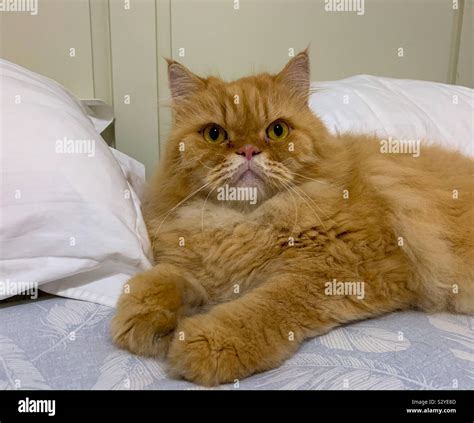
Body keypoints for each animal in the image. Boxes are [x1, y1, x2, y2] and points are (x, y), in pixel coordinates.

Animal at [112, 51, 474, 386]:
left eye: (277, 130)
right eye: (214, 134)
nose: (247, 151)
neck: (242, 223)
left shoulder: (345, 267)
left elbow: (267, 305)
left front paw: (207, 342)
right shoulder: (197, 270)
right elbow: (157, 280)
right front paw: (143, 318)